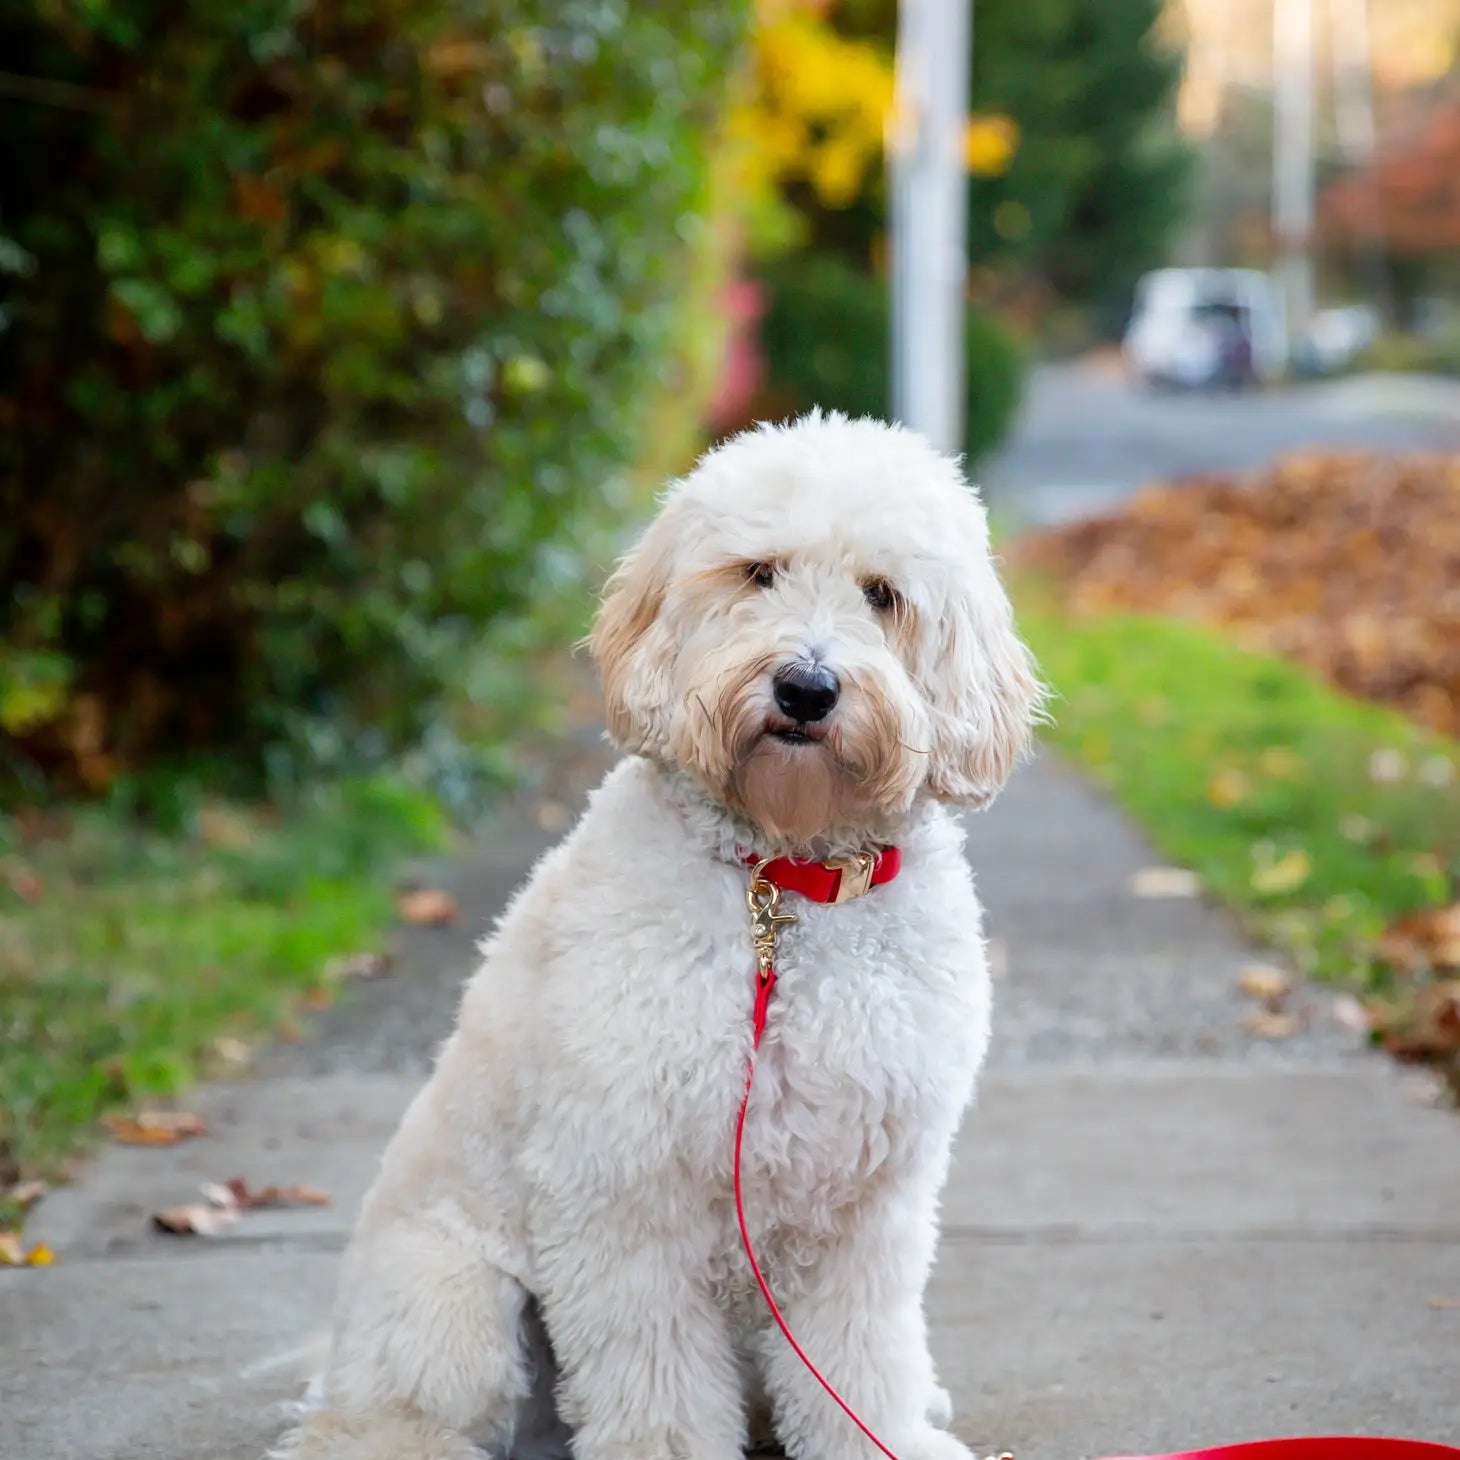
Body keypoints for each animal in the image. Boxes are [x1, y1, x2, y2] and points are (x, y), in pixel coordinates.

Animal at [274, 411, 1045, 1460]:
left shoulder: (867, 1206)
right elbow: (658, 1383)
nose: (806, 688)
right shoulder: (622, 1192)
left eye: (882, 594)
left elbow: (861, 1360)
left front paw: (884, 1433)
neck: (781, 890)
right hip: (453, 1305)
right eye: (759, 573)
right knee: (386, 1417)